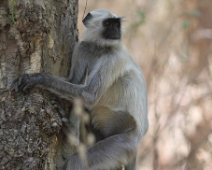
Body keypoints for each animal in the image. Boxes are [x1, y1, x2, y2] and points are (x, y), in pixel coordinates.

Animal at [10, 8, 149, 170]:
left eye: (117, 24)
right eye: (108, 24)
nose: (116, 31)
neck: (100, 48)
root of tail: (137, 137)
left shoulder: (114, 57)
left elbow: (89, 95)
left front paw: (38, 78)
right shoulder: (83, 47)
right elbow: (74, 81)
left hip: (122, 142)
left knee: (77, 161)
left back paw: (73, 134)